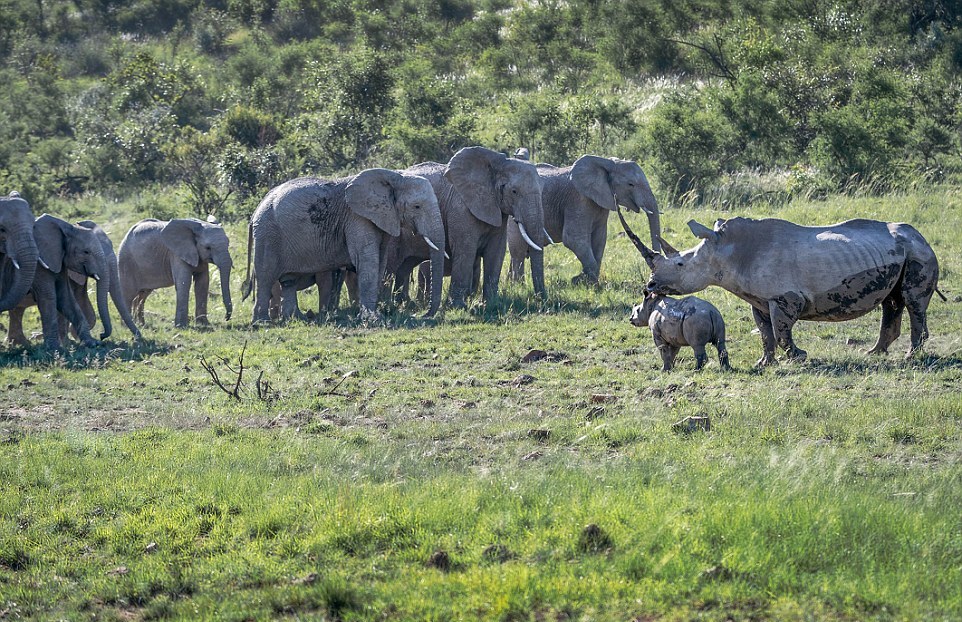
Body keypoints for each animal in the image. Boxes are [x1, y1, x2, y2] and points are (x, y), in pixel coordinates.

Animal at [4, 214, 107, 352]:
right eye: (86, 252)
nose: (102, 336)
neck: (65, 226)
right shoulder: (39, 263)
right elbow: (48, 296)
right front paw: (55, 349)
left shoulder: (59, 260)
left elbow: (65, 296)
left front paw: (93, 343)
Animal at [244, 167, 446, 322]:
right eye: (417, 206)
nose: (424, 315)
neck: (394, 175)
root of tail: (256, 211)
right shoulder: (357, 218)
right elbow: (367, 260)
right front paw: (373, 319)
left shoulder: (384, 218)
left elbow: (380, 260)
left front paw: (374, 314)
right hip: (268, 235)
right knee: (266, 276)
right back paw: (262, 322)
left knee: (289, 281)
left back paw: (296, 319)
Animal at [502, 155, 660, 286]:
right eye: (631, 184)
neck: (606, 162)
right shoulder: (578, 200)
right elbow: (573, 239)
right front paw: (579, 280)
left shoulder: (601, 203)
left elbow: (599, 239)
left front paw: (585, 281)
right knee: (518, 251)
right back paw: (518, 285)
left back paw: (511, 284)